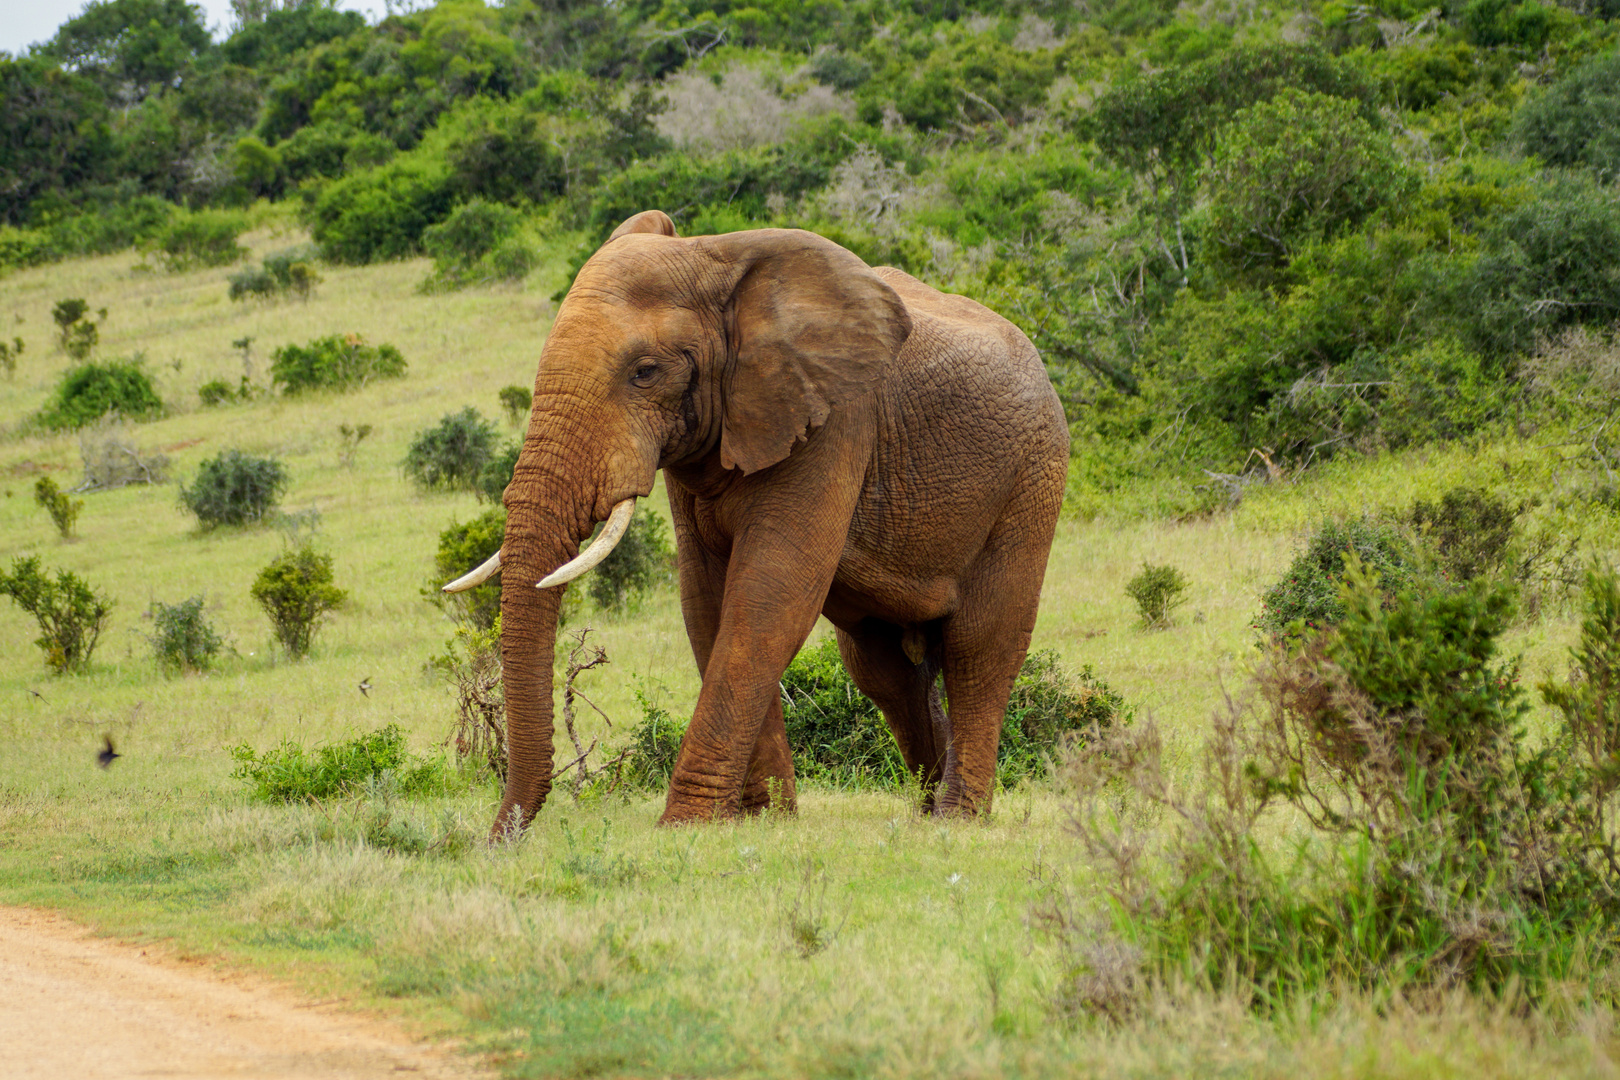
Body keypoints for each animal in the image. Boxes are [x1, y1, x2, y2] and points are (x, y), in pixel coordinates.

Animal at [443, 210, 1069, 835]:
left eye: (645, 372)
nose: (500, 840)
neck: (716, 259)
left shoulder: (836, 418)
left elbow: (768, 595)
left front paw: (687, 825)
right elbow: (708, 602)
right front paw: (763, 820)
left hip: (1032, 482)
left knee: (979, 648)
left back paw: (955, 819)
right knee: (883, 669)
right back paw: (922, 810)